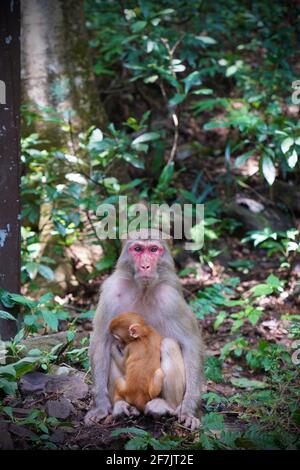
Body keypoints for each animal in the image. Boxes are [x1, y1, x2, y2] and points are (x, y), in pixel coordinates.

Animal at [85, 228, 205, 430]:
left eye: (154, 249)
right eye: (138, 249)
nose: (146, 266)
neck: (143, 289)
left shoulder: (171, 298)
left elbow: (191, 345)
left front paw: (188, 410)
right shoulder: (110, 293)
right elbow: (101, 343)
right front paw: (101, 406)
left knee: (169, 344)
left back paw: (164, 406)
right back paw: (121, 405)